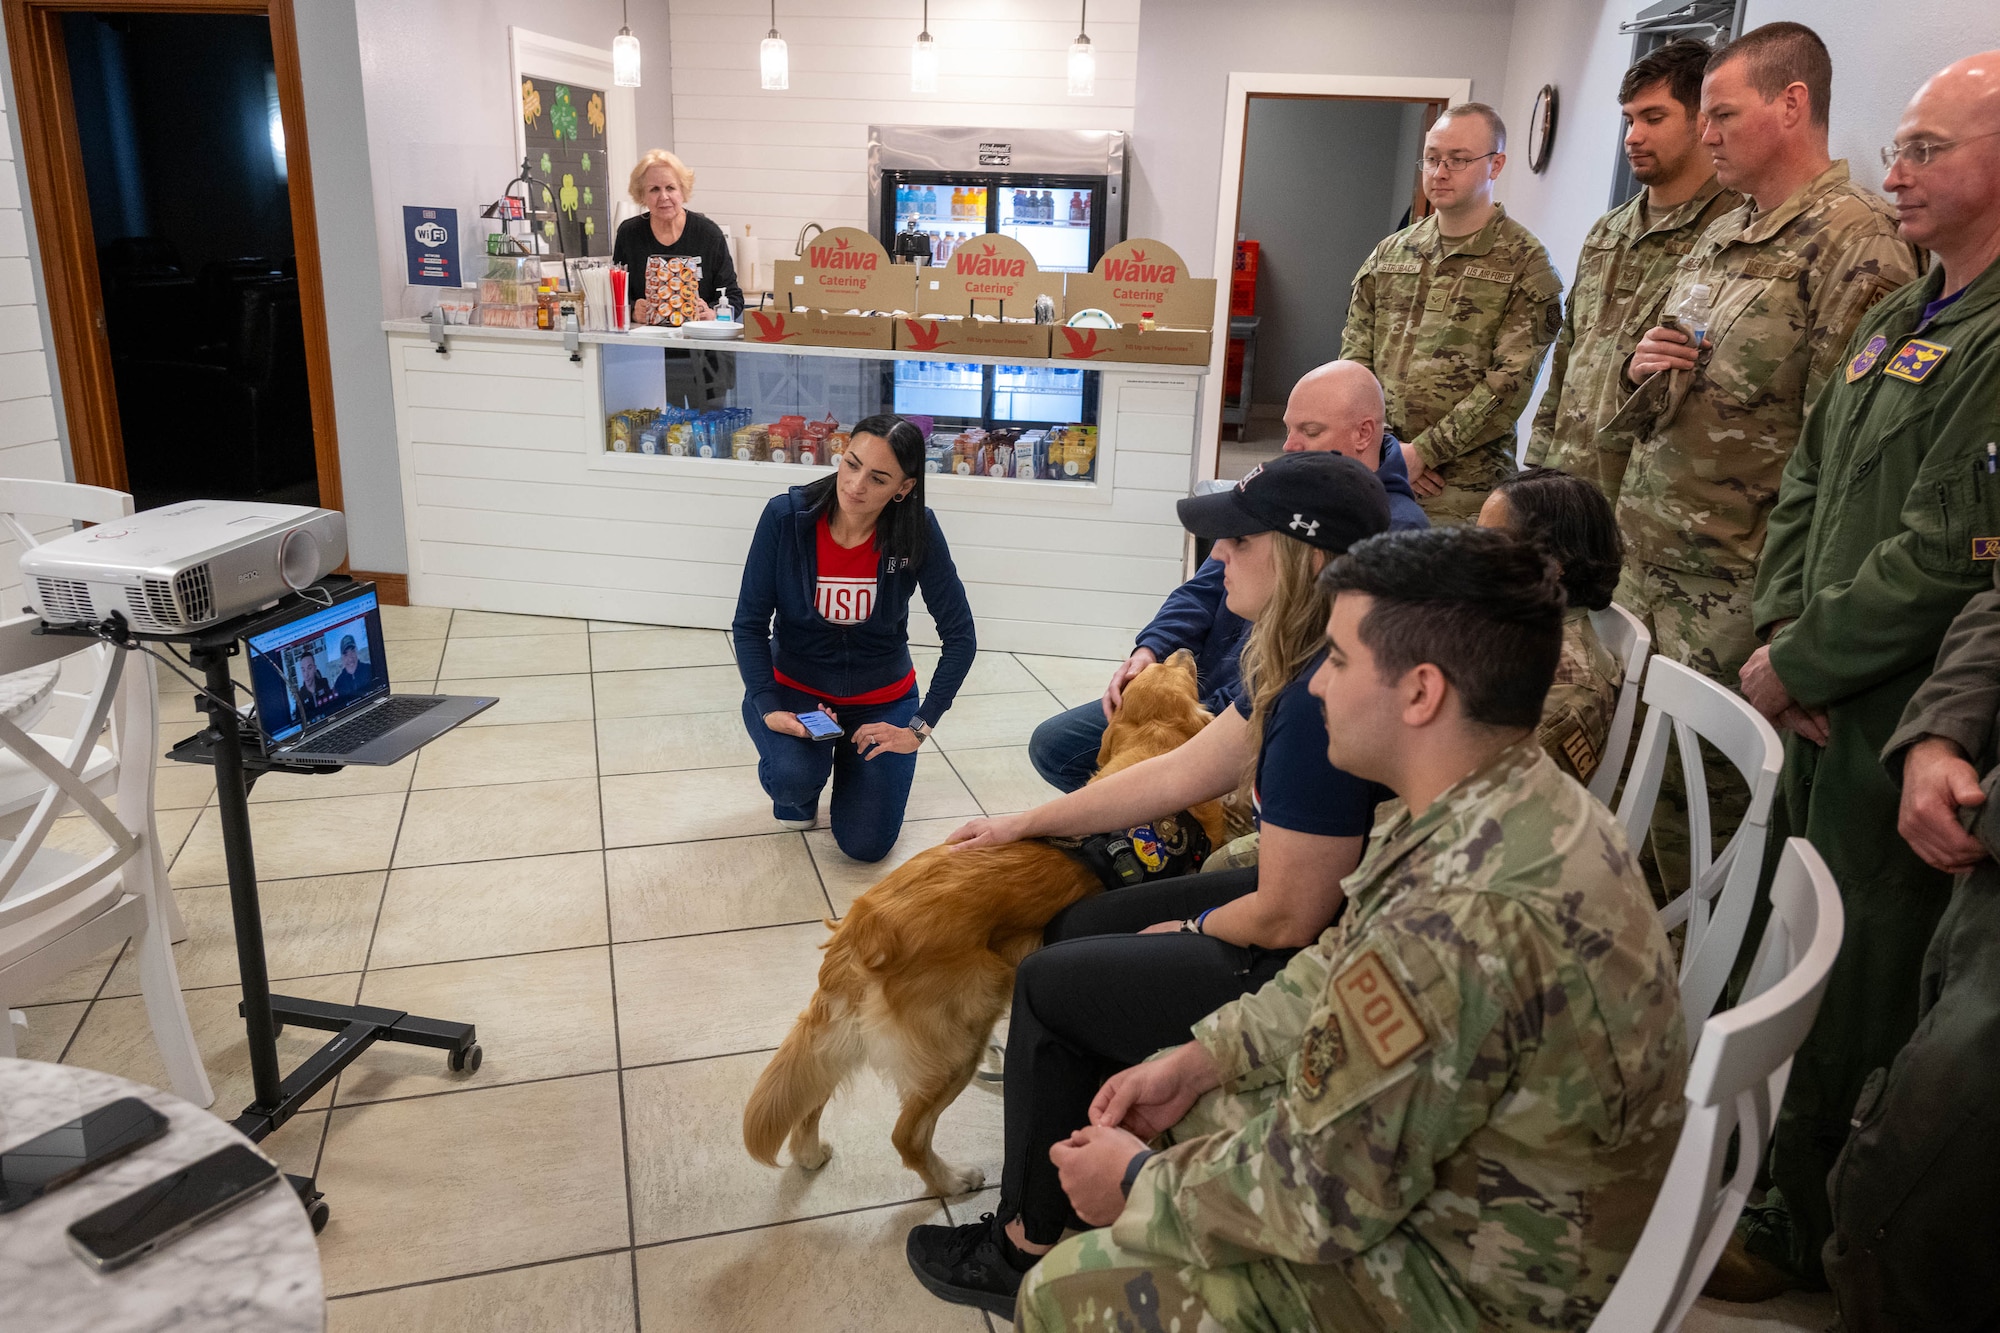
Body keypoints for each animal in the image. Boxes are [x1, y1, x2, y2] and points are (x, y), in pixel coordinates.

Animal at [748, 648, 1224, 1184]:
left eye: (1156, 670)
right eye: (1178, 673)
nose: (1182, 650)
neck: (1147, 753)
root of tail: (861, 929)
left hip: (849, 1036)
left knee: (814, 1095)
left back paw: (811, 1154)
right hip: (959, 1041)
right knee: (907, 1136)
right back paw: (953, 1181)